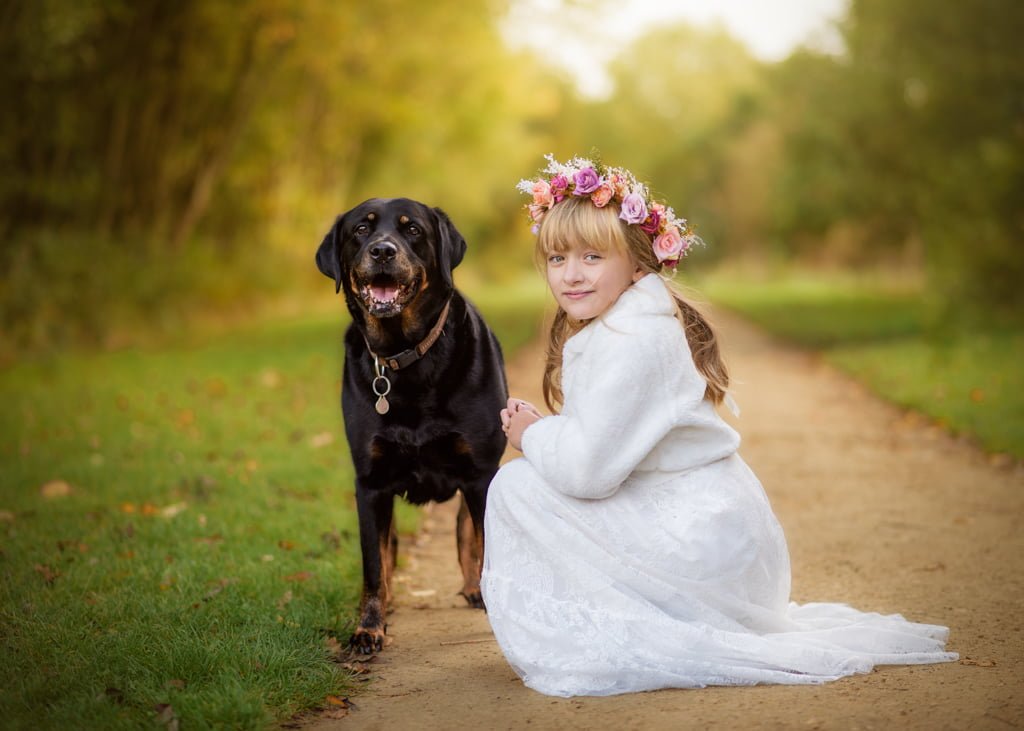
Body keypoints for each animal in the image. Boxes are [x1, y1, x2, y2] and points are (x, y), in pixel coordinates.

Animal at [311, 196, 503, 651]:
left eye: (412, 229)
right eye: (361, 230)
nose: (382, 251)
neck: (407, 356)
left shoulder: (480, 474)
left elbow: (482, 543)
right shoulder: (371, 483)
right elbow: (374, 564)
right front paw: (368, 627)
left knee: (466, 531)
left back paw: (475, 590)